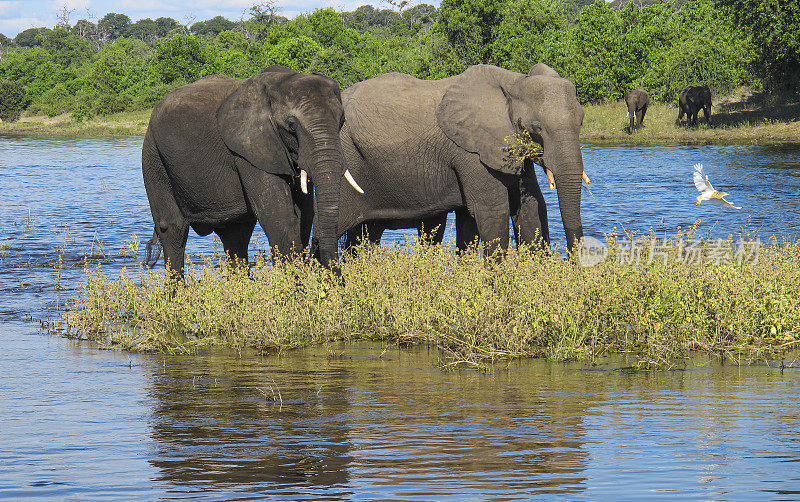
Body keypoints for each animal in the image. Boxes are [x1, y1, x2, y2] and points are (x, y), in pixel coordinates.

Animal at [141, 65, 362, 278]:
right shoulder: (248, 150)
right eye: (291, 126)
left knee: (236, 233)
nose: (337, 280)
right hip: (153, 156)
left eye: (342, 121)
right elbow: (277, 215)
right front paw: (295, 287)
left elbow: (304, 213)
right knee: (173, 229)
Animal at [334, 63, 584, 255]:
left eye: (581, 122)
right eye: (536, 128)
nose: (575, 264)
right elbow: (492, 211)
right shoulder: (471, 152)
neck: (514, 82)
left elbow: (530, 208)